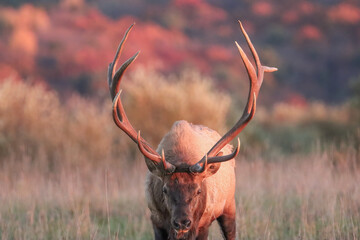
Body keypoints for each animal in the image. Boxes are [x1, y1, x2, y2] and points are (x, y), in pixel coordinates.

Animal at [106, 21, 276, 239]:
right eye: (165, 190)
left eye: (198, 191)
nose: (182, 222)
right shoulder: (155, 220)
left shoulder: (203, 223)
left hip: (229, 205)